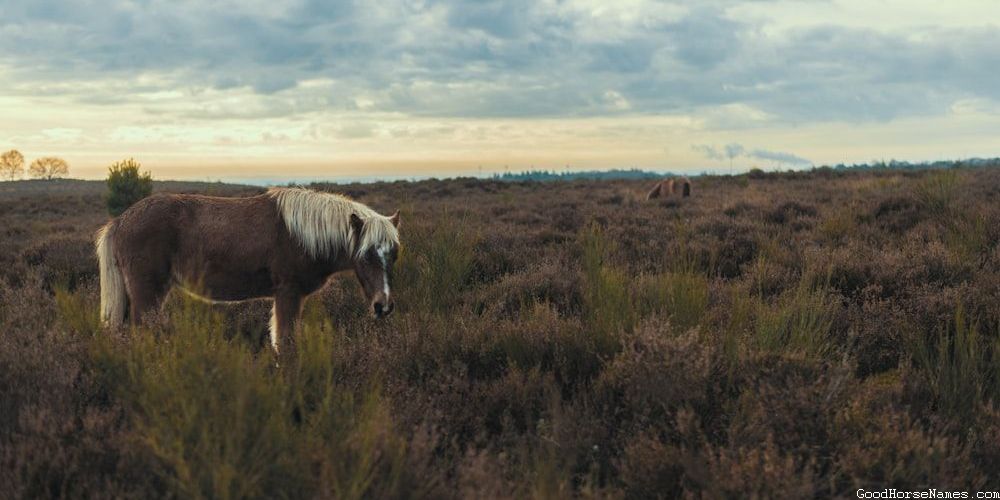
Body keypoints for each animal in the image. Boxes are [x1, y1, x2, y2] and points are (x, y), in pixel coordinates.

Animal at [95, 187, 401, 359]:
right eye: (366, 255)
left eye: (394, 254)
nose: (383, 306)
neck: (304, 234)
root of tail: (120, 220)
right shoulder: (288, 294)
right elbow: (285, 343)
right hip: (148, 295)